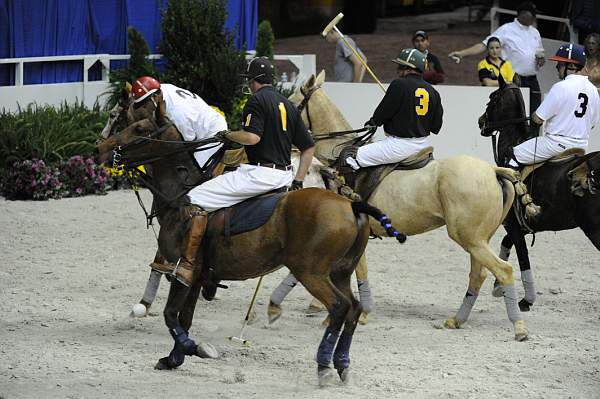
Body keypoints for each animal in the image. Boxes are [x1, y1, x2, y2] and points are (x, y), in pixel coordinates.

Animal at [96, 94, 406, 384]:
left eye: (138, 127)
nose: (100, 149)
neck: (179, 194)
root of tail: (352, 205)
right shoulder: (197, 275)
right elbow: (184, 317)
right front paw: (173, 358)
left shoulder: (182, 271)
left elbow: (171, 314)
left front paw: (195, 348)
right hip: (340, 271)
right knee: (352, 307)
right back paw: (341, 363)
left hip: (311, 271)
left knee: (340, 307)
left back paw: (323, 366)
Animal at [480, 79, 600, 310]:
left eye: (493, 97)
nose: (481, 121)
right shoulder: (525, 224)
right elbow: (506, 244)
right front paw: (499, 285)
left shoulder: (513, 224)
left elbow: (523, 257)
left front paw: (526, 300)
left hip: (593, 228)